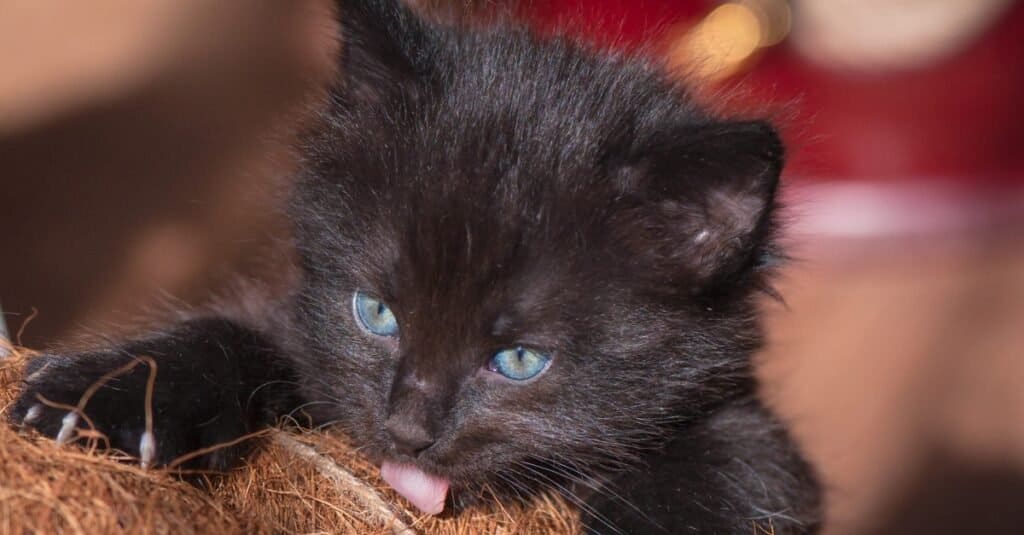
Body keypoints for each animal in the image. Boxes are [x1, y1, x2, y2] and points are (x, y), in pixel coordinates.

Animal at [8, 2, 819, 528]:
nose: (405, 431)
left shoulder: (753, 439)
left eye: (520, 359)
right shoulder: (300, 325)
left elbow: (731, 467)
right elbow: (232, 330)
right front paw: (100, 397)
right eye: (376, 313)